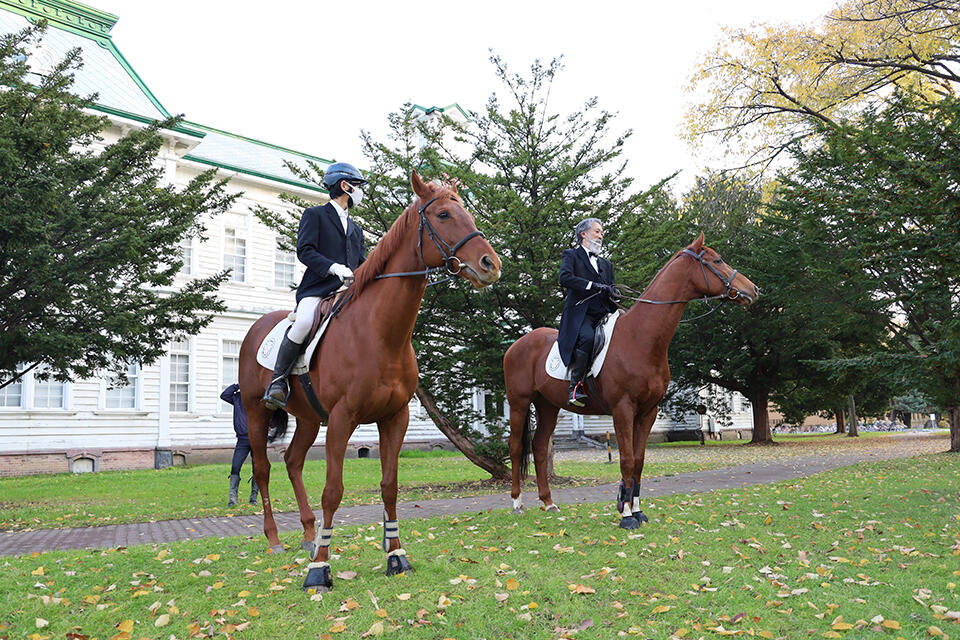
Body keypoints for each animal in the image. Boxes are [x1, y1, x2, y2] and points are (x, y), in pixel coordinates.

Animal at [239, 170, 502, 592]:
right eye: (444, 214)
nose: (490, 264)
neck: (379, 333)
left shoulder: (395, 418)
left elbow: (389, 486)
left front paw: (396, 555)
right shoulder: (342, 419)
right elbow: (333, 492)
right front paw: (320, 569)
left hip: (309, 419)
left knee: (294, 461)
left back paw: (309, 535)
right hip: (255, 412)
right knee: (263, 469)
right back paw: (276, 539)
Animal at [502, 235, 756, 528]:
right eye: (717, 260)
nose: (753, 290)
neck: (641, 338)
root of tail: (517, 345)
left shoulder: (648, 412)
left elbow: (638, 460)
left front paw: (635, 509)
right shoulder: (623, 410)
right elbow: (625, 459)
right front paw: (625, 515)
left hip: (548, 406)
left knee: (540, 447)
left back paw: (548, 502)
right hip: (519, 403)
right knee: (516, 447)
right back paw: (517, 504)